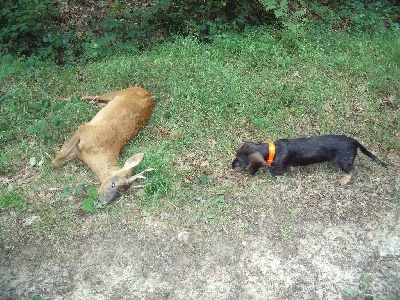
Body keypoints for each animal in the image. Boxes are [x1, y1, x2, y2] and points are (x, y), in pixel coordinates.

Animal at [233, 135, 386, 184]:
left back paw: (345, 180)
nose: (231, 165)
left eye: (241, 162)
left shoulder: (279, 168)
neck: (273, 151)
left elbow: (273, 171)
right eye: (235, 153)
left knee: (354, 170)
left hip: (345, 162)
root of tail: (353, 141)